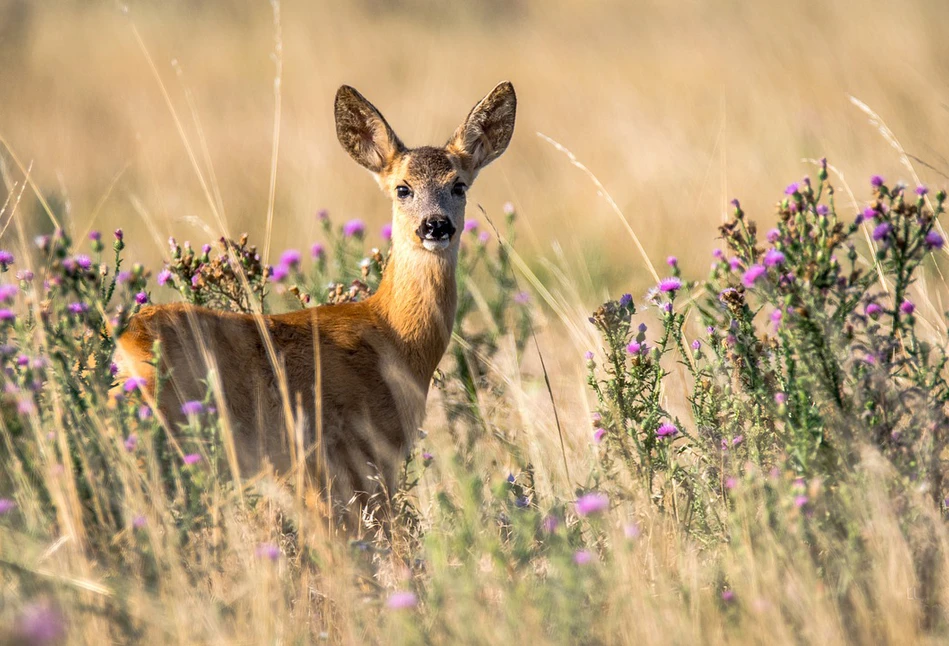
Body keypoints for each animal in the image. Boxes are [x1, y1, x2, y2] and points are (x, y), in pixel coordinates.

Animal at [118, 79, 520, 532]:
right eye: (403, 188)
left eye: (459, 185)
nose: (436, 226)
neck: (394, 337)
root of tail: (125, 343)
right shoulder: (355, 455)